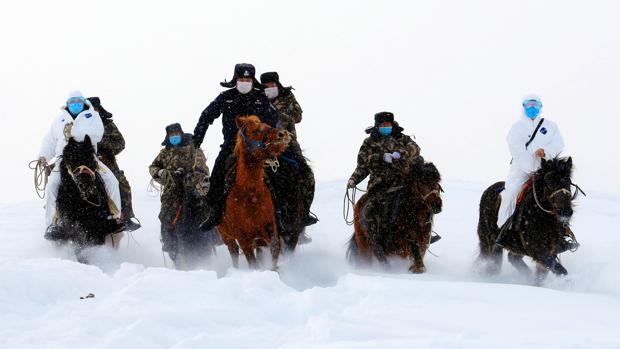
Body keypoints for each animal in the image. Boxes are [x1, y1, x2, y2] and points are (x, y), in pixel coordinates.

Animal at [217, 114, 292, 270]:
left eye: (267, 124)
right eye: (255, 130)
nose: (282, 134)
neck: (250, 194)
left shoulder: (270, 228)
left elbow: (275, 248)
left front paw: (274, 270)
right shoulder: (243, 238)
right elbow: (252, 262)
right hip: (227, 237)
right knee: (233, 253)